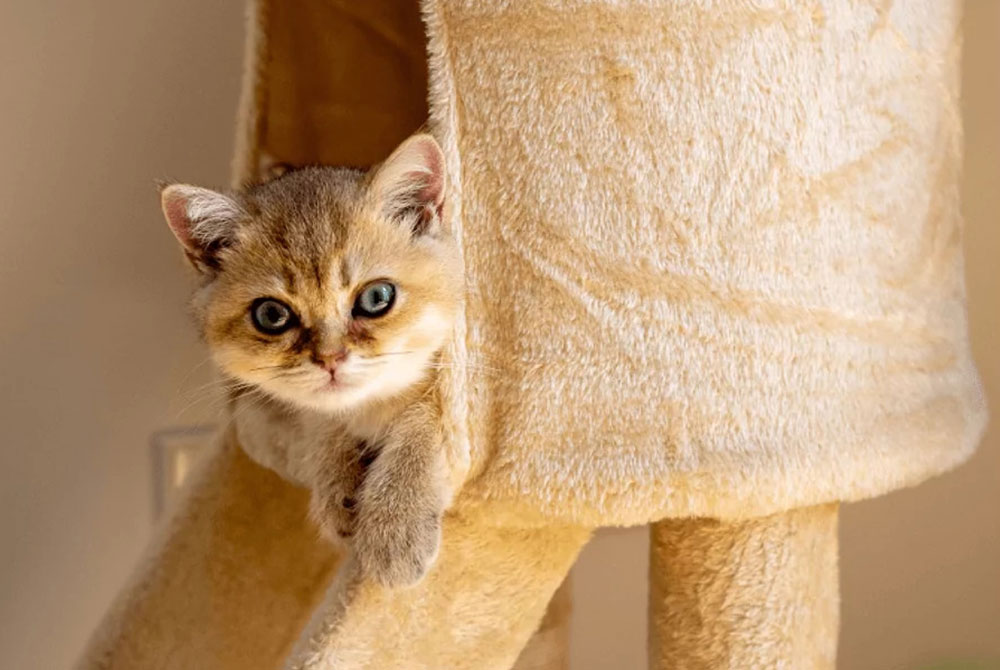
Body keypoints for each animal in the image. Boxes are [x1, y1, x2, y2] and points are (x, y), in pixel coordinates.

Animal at [159, 136, 460, 588]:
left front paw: (395, 522)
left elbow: (423, 418)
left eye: (376, 297)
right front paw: (336, 481)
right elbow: (317, 420)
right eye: (271, 315)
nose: (330, 359)